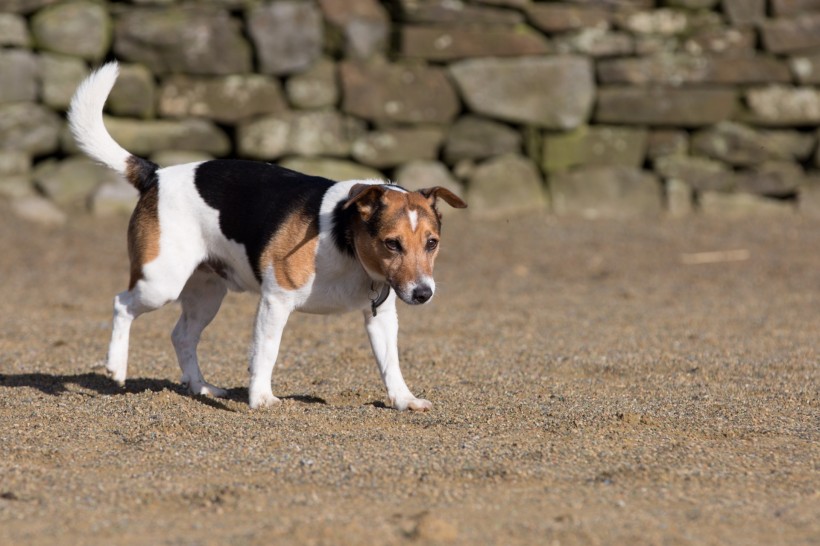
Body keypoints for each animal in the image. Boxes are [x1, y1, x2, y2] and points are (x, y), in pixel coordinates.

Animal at [69, 62, 468, 408]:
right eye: (391, 243)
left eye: (432, 243)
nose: (423, 294)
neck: (347, 242)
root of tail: (156, 174)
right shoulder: (276, 301)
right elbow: (266, 352)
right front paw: (261, 398)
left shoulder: (382, 315)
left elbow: (391, 364)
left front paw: (404, 400)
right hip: (160, 282)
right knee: (121, 304)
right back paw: (116, 367)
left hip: (206, 292)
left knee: (182, 335)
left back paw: (201, 387)